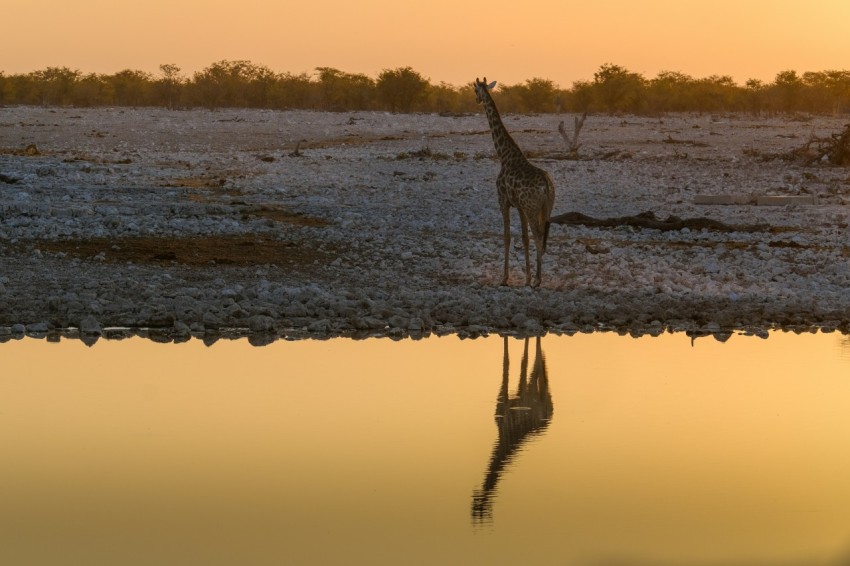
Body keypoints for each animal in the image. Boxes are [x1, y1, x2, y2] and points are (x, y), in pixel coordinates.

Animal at [470, 336, 548, 524]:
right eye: (475, 509)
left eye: (481, 508)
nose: (475, 493)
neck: (504, 436)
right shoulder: (503, 400)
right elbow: (512, 360)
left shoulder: (516, 398)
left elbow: (518, 361)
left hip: (538, 395)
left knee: (538, 365)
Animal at [474, 77, 552, 288]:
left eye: (475, 90)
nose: (476, 100)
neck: (504, 155)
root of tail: (547, 185)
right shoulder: (520, 206)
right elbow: (524, 238)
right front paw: (525, 278)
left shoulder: (503, 201)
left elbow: (507, 236)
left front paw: (505, 278)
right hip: (545, 208)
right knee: (542, 235)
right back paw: (536, 278)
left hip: (533, 208)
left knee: (538, 235)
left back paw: (538, 280)